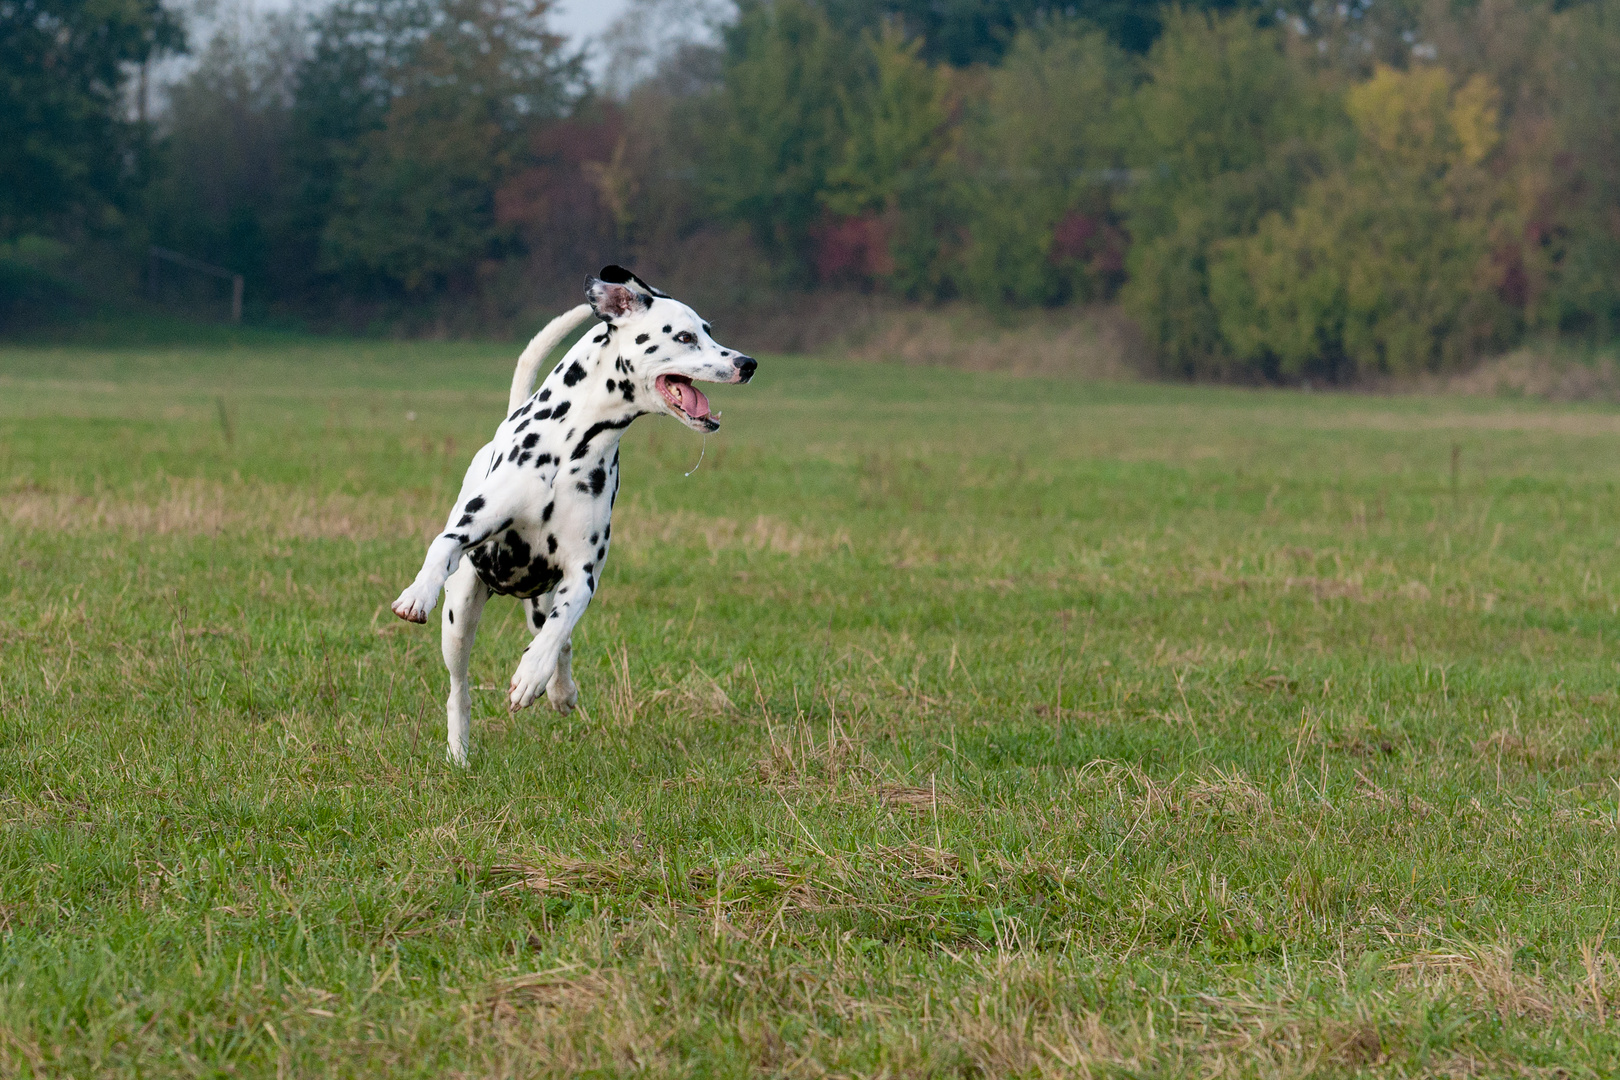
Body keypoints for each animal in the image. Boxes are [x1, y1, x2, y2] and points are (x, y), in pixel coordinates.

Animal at [388, 265, 754, 764]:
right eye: (684, 335)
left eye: (710, 331)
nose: (747, 363)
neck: (572, 444)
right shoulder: (469, 529)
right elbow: (441, 546)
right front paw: (415, 594)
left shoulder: (581, 575)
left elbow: (560, 629)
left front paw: (532, 676)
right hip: (459, 616)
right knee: (458, 688)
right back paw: (459, 749)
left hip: (540, 599)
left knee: (556, 636)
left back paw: (558, 688)